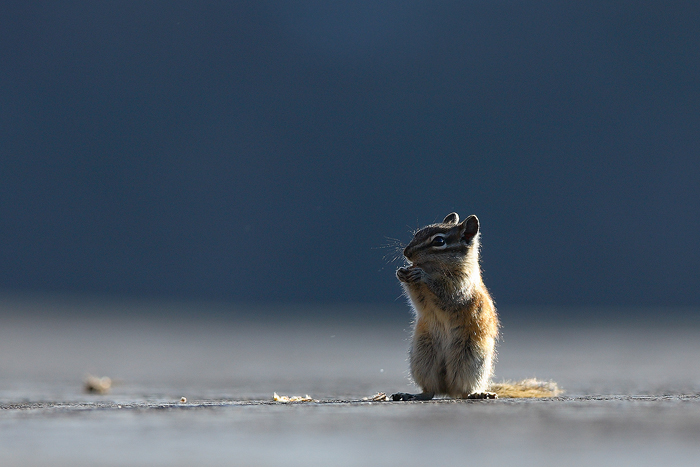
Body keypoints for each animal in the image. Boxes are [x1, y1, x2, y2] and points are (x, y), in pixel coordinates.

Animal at [391, 212, 560, 401]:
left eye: (439, 241)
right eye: (417, 233)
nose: (406, 252)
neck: (437, 269)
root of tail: (448, 390)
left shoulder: (460, 285)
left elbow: (446, 292)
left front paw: (421, 275)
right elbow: (418, 299)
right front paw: (402, 272)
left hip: (470, 359)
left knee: (464, 390)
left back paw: (479, 393)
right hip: (423, 357)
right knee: (430, 390)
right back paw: (412, 395)